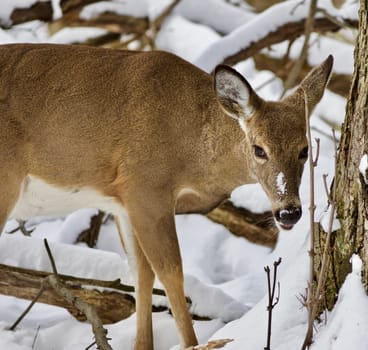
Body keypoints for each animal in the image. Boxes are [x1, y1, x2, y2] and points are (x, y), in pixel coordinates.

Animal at [0, 44, 334, 350]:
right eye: (259, 149)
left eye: (304, 149)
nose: (289, 212)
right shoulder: (146, 187)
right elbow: (172, 271)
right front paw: (192, 344)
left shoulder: (123, 202)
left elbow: (141, 273)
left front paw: (142, 345)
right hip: (7, 181)